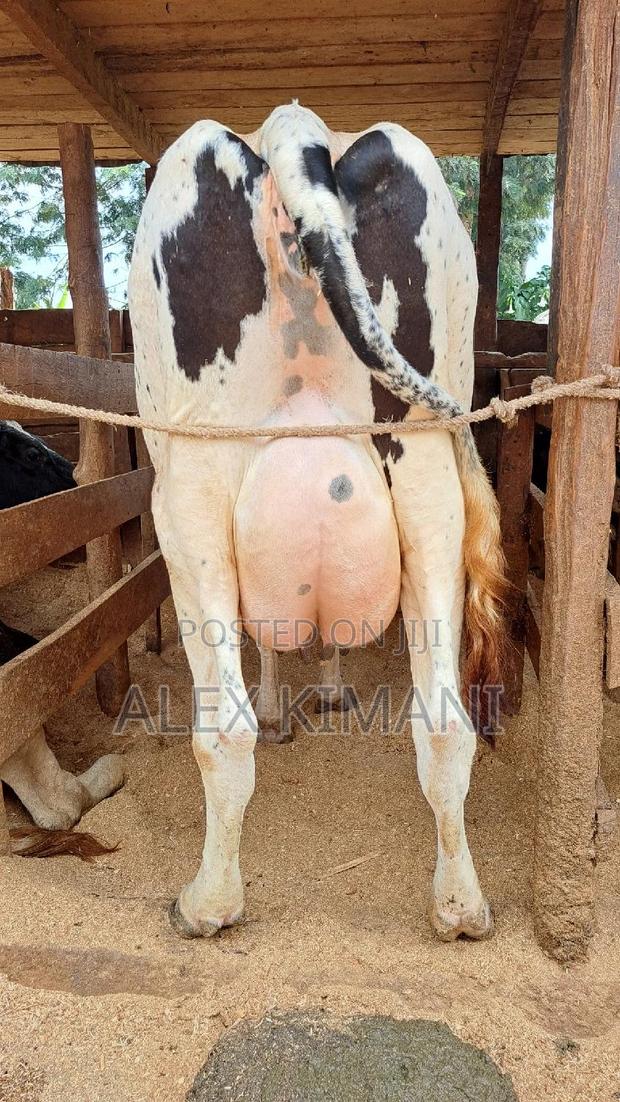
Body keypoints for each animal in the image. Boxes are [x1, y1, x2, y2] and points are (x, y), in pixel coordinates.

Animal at [129, 103, 506, 942]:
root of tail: (296, 129)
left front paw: (288, 703)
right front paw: (326, 690)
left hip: (189, 484)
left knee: (223, 727)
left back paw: (208, 904)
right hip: (427, 468)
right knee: (444, 720)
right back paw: (461, 905)